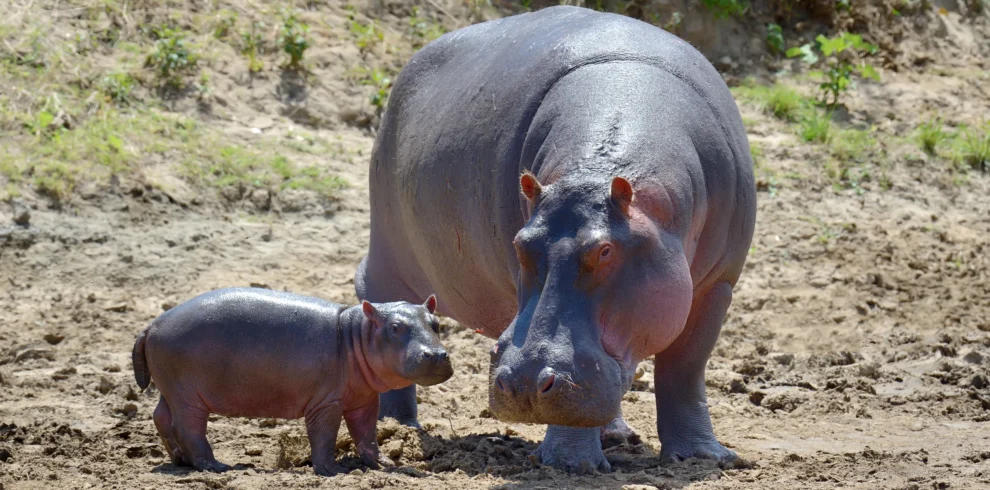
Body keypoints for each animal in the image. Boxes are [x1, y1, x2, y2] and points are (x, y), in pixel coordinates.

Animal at [131, 287, 453, 476]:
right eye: (396, 327)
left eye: (437, 324)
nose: (437, 355)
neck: (355, 334)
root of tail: (151, 325)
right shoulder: (326, 403)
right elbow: (324, 435)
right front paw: (331, 472)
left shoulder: (364, 400)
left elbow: (367, 434)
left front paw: (385, 464)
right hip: (188, 396)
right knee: (188, 427)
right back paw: (216, 467)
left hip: (170, 389)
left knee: (161, 416)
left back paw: (180, 461)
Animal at [355, 6, 756, 472]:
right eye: (520, 244)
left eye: (605, 250)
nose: (524, 383)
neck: (594, 172)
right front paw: (571, 465)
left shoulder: (717, 286)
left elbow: (685, 369)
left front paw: (705, 457)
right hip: (388, 252)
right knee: (384, 305)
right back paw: (398, 428)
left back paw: (617, 435)